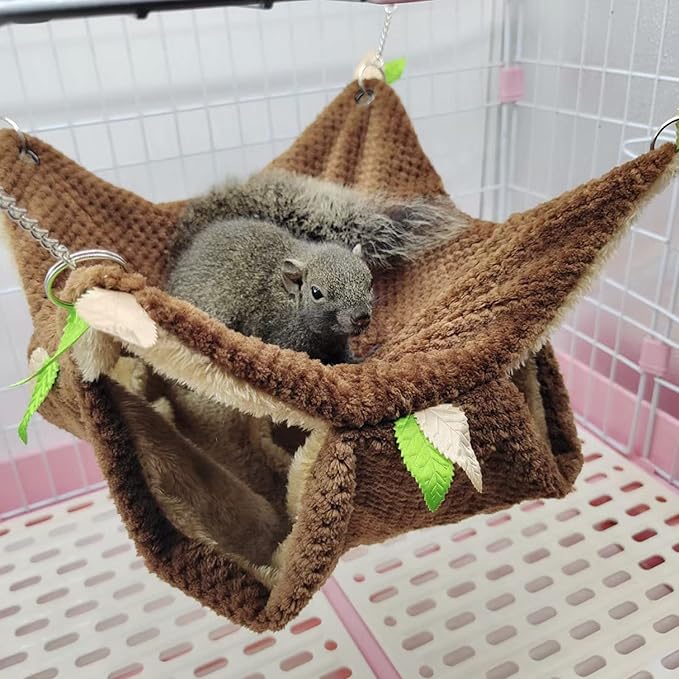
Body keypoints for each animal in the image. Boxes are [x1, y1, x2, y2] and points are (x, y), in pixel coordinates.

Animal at [167, 218, 374, 365]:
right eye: (316, 292)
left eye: (370, 282)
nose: (361, 316)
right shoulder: (285, 338)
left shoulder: (338, 342)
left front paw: (359, 359)